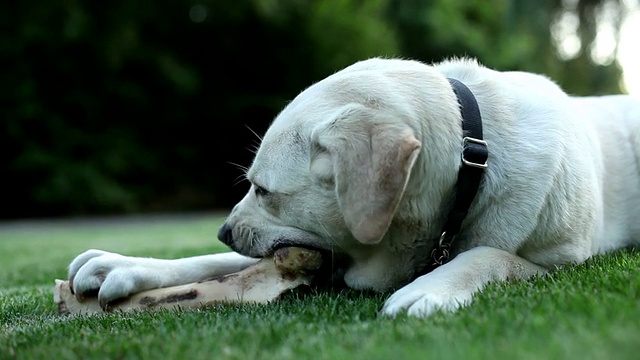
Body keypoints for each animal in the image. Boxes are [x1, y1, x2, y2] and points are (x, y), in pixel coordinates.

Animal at [66, 55, 640, 316]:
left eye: (265, 191)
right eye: (252, 187)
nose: (225, 230)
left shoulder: (560, 263)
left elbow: (488, 255)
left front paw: (431, 287)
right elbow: (212, 263)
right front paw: (123, 265)